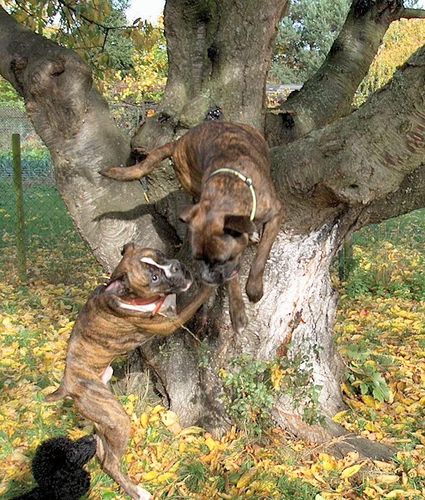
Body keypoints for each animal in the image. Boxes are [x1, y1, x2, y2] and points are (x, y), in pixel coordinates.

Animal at [46, 245, 212, 500]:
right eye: (153, 278)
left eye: (160, 256)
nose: (175, 266)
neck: (132, 298)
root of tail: (66, 384)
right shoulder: (170, 322)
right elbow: (198, 297)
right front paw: (217, 284)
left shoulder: (171, 307)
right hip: (117, 418)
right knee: (111, 462)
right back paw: (137, 491)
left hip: (105, 420)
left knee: (102, 452)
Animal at [101, 120, 284, 332]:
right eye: (199, 259)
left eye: (222, 259)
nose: (206, 278)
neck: (228, 189)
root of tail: (178, 142)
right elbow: (232, 277)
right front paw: (237, 310)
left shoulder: (276, 214)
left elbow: (261, 254)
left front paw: (253, 287)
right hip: (190, 181)